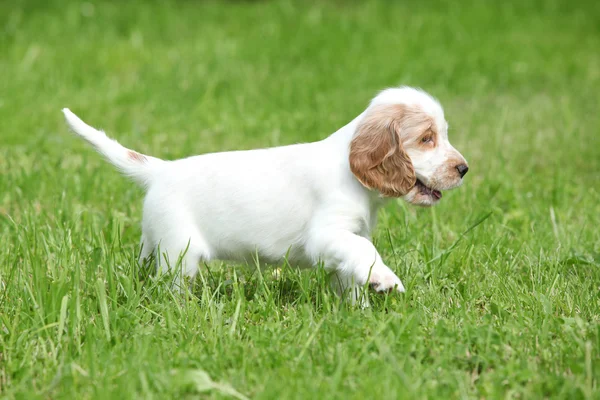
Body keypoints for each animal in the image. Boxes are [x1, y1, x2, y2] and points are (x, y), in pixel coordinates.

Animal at [64, 87, 468, 300]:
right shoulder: (327, 234)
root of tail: (161, 170)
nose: (463, 169)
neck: (355, 178)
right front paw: (384, 279)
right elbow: (364, 252)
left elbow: (351, 268)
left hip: (155, 243)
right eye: (427, 138)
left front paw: (356, 310)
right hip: (180, 252)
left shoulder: (348, 236)